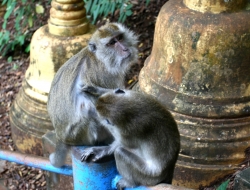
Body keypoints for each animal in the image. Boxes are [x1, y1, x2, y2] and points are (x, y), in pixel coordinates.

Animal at [46, 22, 138, 167]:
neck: (98, 57)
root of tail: (60, 137)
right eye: (112, 43)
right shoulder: (108, 75)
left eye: (119, 38)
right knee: (90, 111)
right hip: (80, 134)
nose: (124, 49)